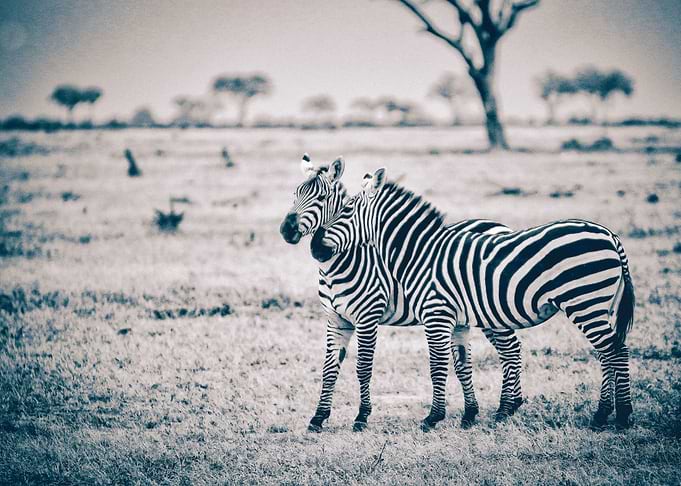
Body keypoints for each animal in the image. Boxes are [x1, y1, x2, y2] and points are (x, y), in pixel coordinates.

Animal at [280, 154, 522, 432]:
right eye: (294, 195)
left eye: (321, 198)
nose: (286, 229)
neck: (338, 265)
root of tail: (500, 226)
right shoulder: (336, 320)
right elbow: (329, 369)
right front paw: (318, 417)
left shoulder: (367, 317)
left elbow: (364, 367)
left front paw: (362, 416)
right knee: (504, 350)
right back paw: (506, 405)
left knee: (510, 348)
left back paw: (507, 408)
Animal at [311, 167, 635, 430]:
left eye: (346, 209)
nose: (315, 249)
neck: (420, 253)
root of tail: (609, 235)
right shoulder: (454, 319)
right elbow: (459, 364)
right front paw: (465, 414)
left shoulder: (436, 314)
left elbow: (437, 365)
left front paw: (433, 417)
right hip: (595, 305)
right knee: (607, 352)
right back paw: (601, 414)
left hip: (584, 301)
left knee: (615, 351)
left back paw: (619, 416)